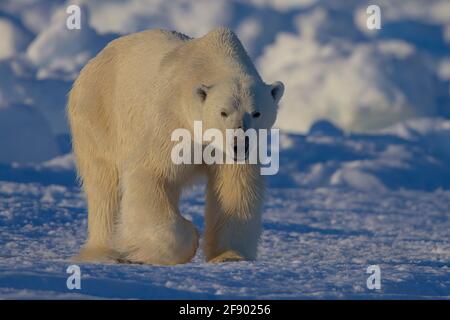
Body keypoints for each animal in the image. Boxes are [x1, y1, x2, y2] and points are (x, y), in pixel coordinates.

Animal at [67, 28, 284, 264]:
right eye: (223, 112)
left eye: (256, 113)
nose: (239, 145)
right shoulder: (170, 121)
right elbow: (151, 176)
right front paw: (186, 239)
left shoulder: (231, 153)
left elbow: (235, 189)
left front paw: (229, 256)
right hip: (100, 117)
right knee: (103, 185)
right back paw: (106, 252)